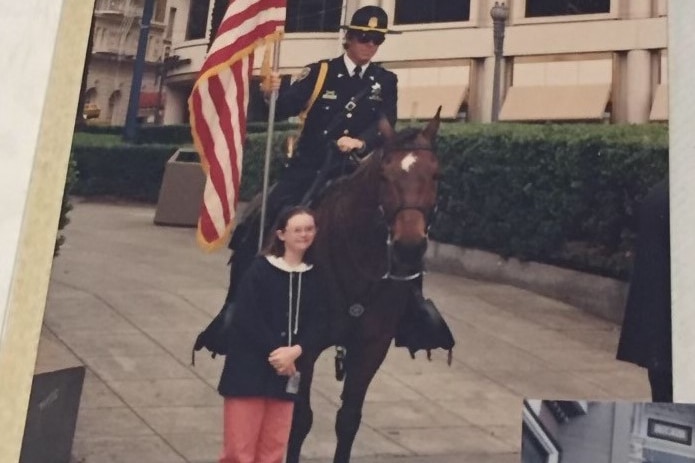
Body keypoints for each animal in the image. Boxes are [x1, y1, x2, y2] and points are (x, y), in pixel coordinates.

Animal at [286, 109, 440, 463]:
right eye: (384, 175)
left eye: (436, 175)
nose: (409, 248)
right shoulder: (306, 344)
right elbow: (299, 419)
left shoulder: (371, 346)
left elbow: (348, 421)